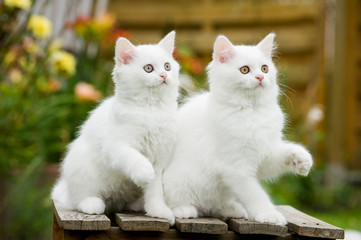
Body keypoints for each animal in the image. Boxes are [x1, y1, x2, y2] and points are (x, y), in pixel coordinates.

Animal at [51, 31, 179, 224]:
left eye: (167, 66)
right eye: (148, 68)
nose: (164, 75)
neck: (152, 108)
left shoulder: (158, 158)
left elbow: (155, 191)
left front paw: (159, 211)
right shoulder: (115, 146)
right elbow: (134, 158)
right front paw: (145, 172)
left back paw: (137, 205)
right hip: (81, 167)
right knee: (78, 200)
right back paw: (92, 203)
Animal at [163, 32, 312, 226]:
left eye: (265, 68)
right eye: (245, 70)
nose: (260, 77)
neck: (252, 110)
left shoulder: (264, 155)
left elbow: (284, 153)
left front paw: (302, 159)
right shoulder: (235, 167)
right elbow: (256, 195)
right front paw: (269, 214)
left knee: (214, 206)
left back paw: (232, 209)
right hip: (181, 180)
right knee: (177, 201)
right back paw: (185, 209)